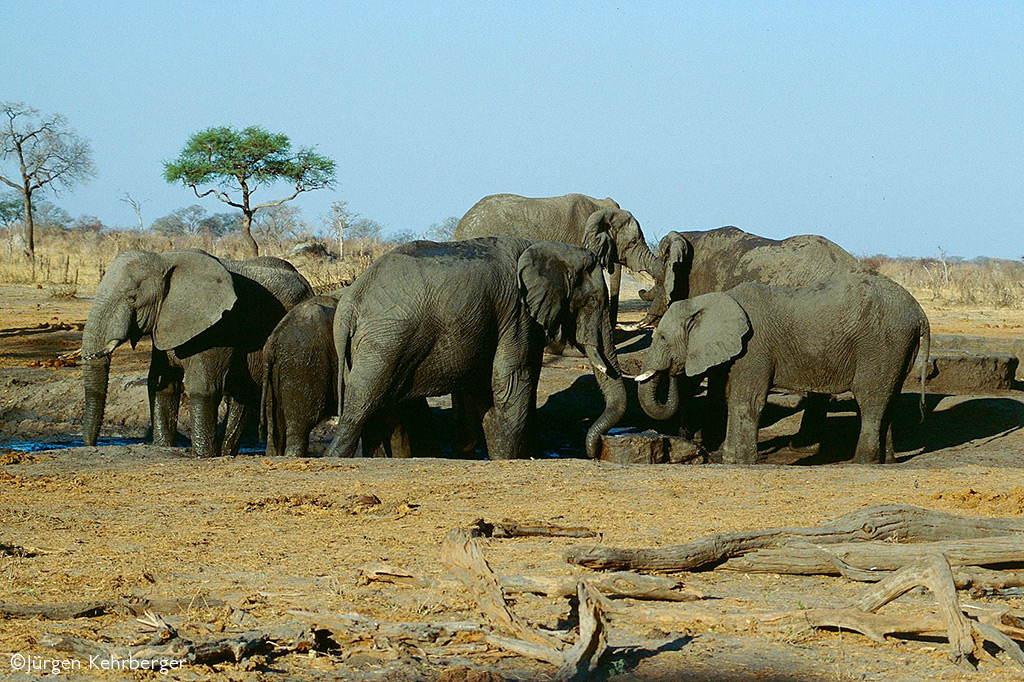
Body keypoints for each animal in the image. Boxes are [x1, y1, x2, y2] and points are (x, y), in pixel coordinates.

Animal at [82, 246, 311, 454]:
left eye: (132, 297)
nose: (90, 446)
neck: (164, 260)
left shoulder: (217, 326)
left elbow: (203, 386)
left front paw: (202, 455)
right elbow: (163, 385)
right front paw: (164, 446)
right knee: (243, 397)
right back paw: (225, 452)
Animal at [323, 236, 626, 458]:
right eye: (593, 301)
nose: (595, 452)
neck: (546, 247)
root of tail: (350, 302)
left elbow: (489, 392)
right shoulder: (517, 313)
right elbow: (513, 382)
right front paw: (510, 459)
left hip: (368, 347)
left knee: (379, 410)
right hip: (385, 341)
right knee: (361, 405)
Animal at [630, 270, 929, 462]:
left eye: (662, 338)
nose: (672, 372)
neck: (714, 300)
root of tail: (919, 313)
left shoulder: (754, 347)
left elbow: (746, 401)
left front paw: (738, 462)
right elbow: (730, 396)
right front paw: (727, 458)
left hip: (880, 344)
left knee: (870, 400)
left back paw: (861, 462)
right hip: (899, 348)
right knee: (889, 399)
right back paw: (886, 461)